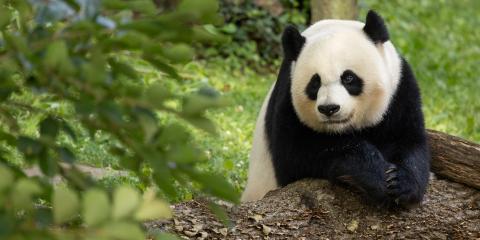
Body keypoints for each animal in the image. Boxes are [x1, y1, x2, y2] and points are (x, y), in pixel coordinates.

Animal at [242, 10, 430, 207]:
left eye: (348, 78)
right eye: (315, 83)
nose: (329, 108)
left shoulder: (400, 89)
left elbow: (408, 140)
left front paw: (400, 183)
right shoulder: (287, 99)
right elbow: (295, 156)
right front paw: (376, 176)